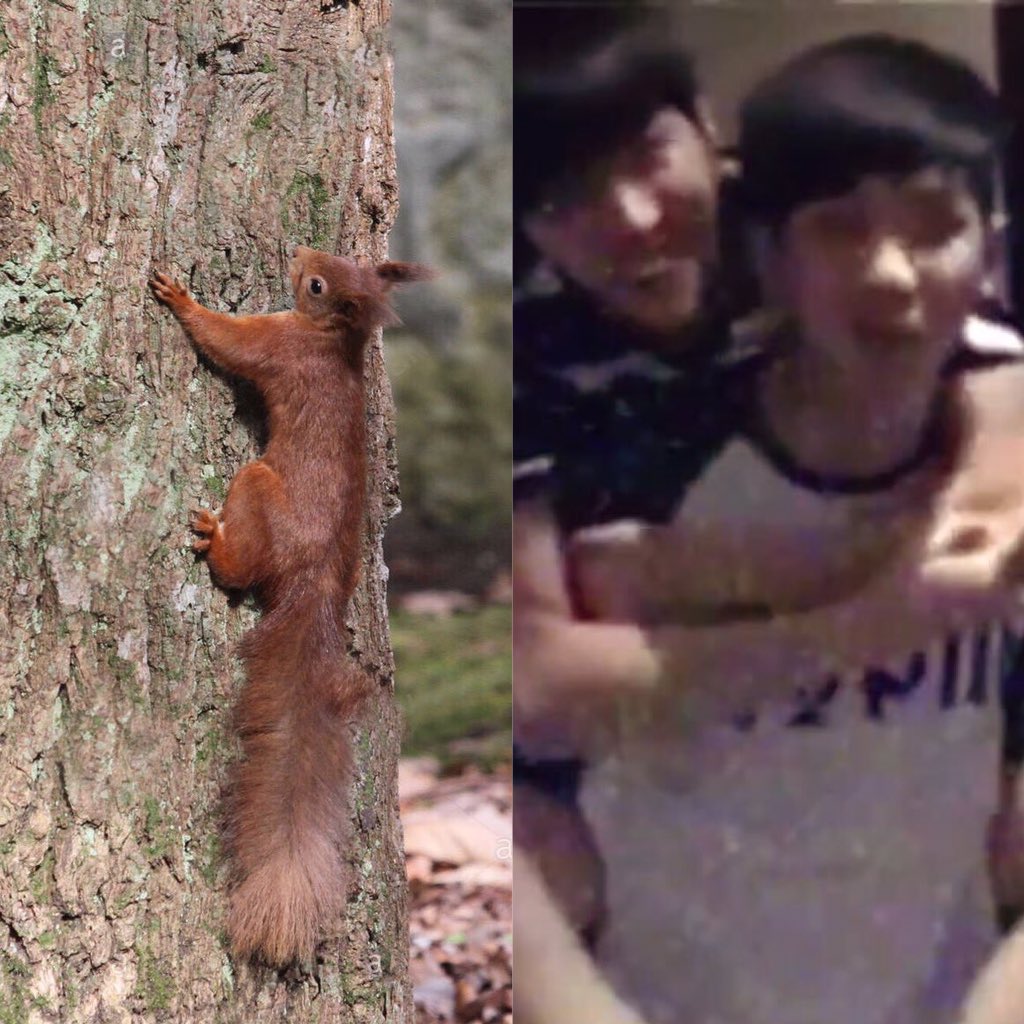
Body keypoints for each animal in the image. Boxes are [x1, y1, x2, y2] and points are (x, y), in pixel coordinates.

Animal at [149, 245, 430, 965]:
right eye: (334, 263)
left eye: (317, 285)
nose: (300, 253)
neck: (335, 343)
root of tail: (316, 586)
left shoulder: (276, 345)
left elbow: (227, 341)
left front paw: (180, 297)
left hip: (256, 487)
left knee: (240, 564)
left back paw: (213, 542)